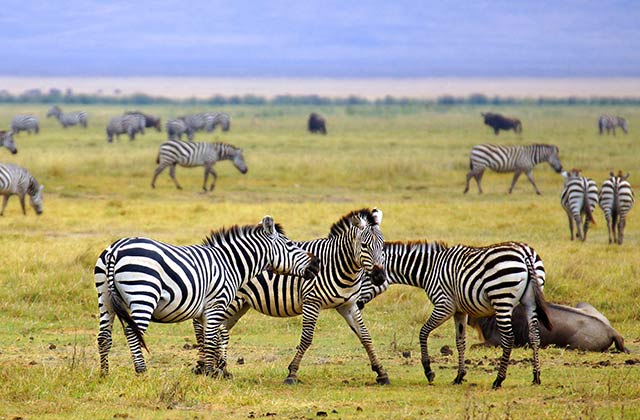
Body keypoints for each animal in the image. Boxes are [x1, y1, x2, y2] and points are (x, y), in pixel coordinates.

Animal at [94, 215, 320, 376]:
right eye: (290, 245)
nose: (316, 265)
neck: (230, 264)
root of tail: (116, 249)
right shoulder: (216, 304)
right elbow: (211, 338)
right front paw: (211, 373)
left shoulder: (205, 310)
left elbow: (209, 336)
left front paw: (210, 369)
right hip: (143, 295)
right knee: (133, 333)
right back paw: (141, 371)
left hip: (105, 297)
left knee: (104, 336)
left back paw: (104, 373)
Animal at [199, 208, 389, 384]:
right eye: (364, 245)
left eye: (382, 245)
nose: (379, 276)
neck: (339, 265)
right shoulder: (312, 301)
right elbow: (306, 338)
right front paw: (292, 373)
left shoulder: (348, 305)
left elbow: (365, 335)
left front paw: (381, 372)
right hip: (227, 301)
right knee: (206, 327)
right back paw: (204, 367)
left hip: (240, 304)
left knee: (220, 329)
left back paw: (221, 369)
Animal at [357, 240, 551, 389]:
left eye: (366, 278)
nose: (356, 304)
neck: (429, 269)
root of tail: (524, 252)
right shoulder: (460, 311)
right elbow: (460, 342)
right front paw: (459, 376)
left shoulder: (445, 306)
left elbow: (423, 332)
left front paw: (428, 371)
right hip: (530, 301)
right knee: (534, 335)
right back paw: (536, 377)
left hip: (502, 298)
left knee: (509, 338)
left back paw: (498, 380)